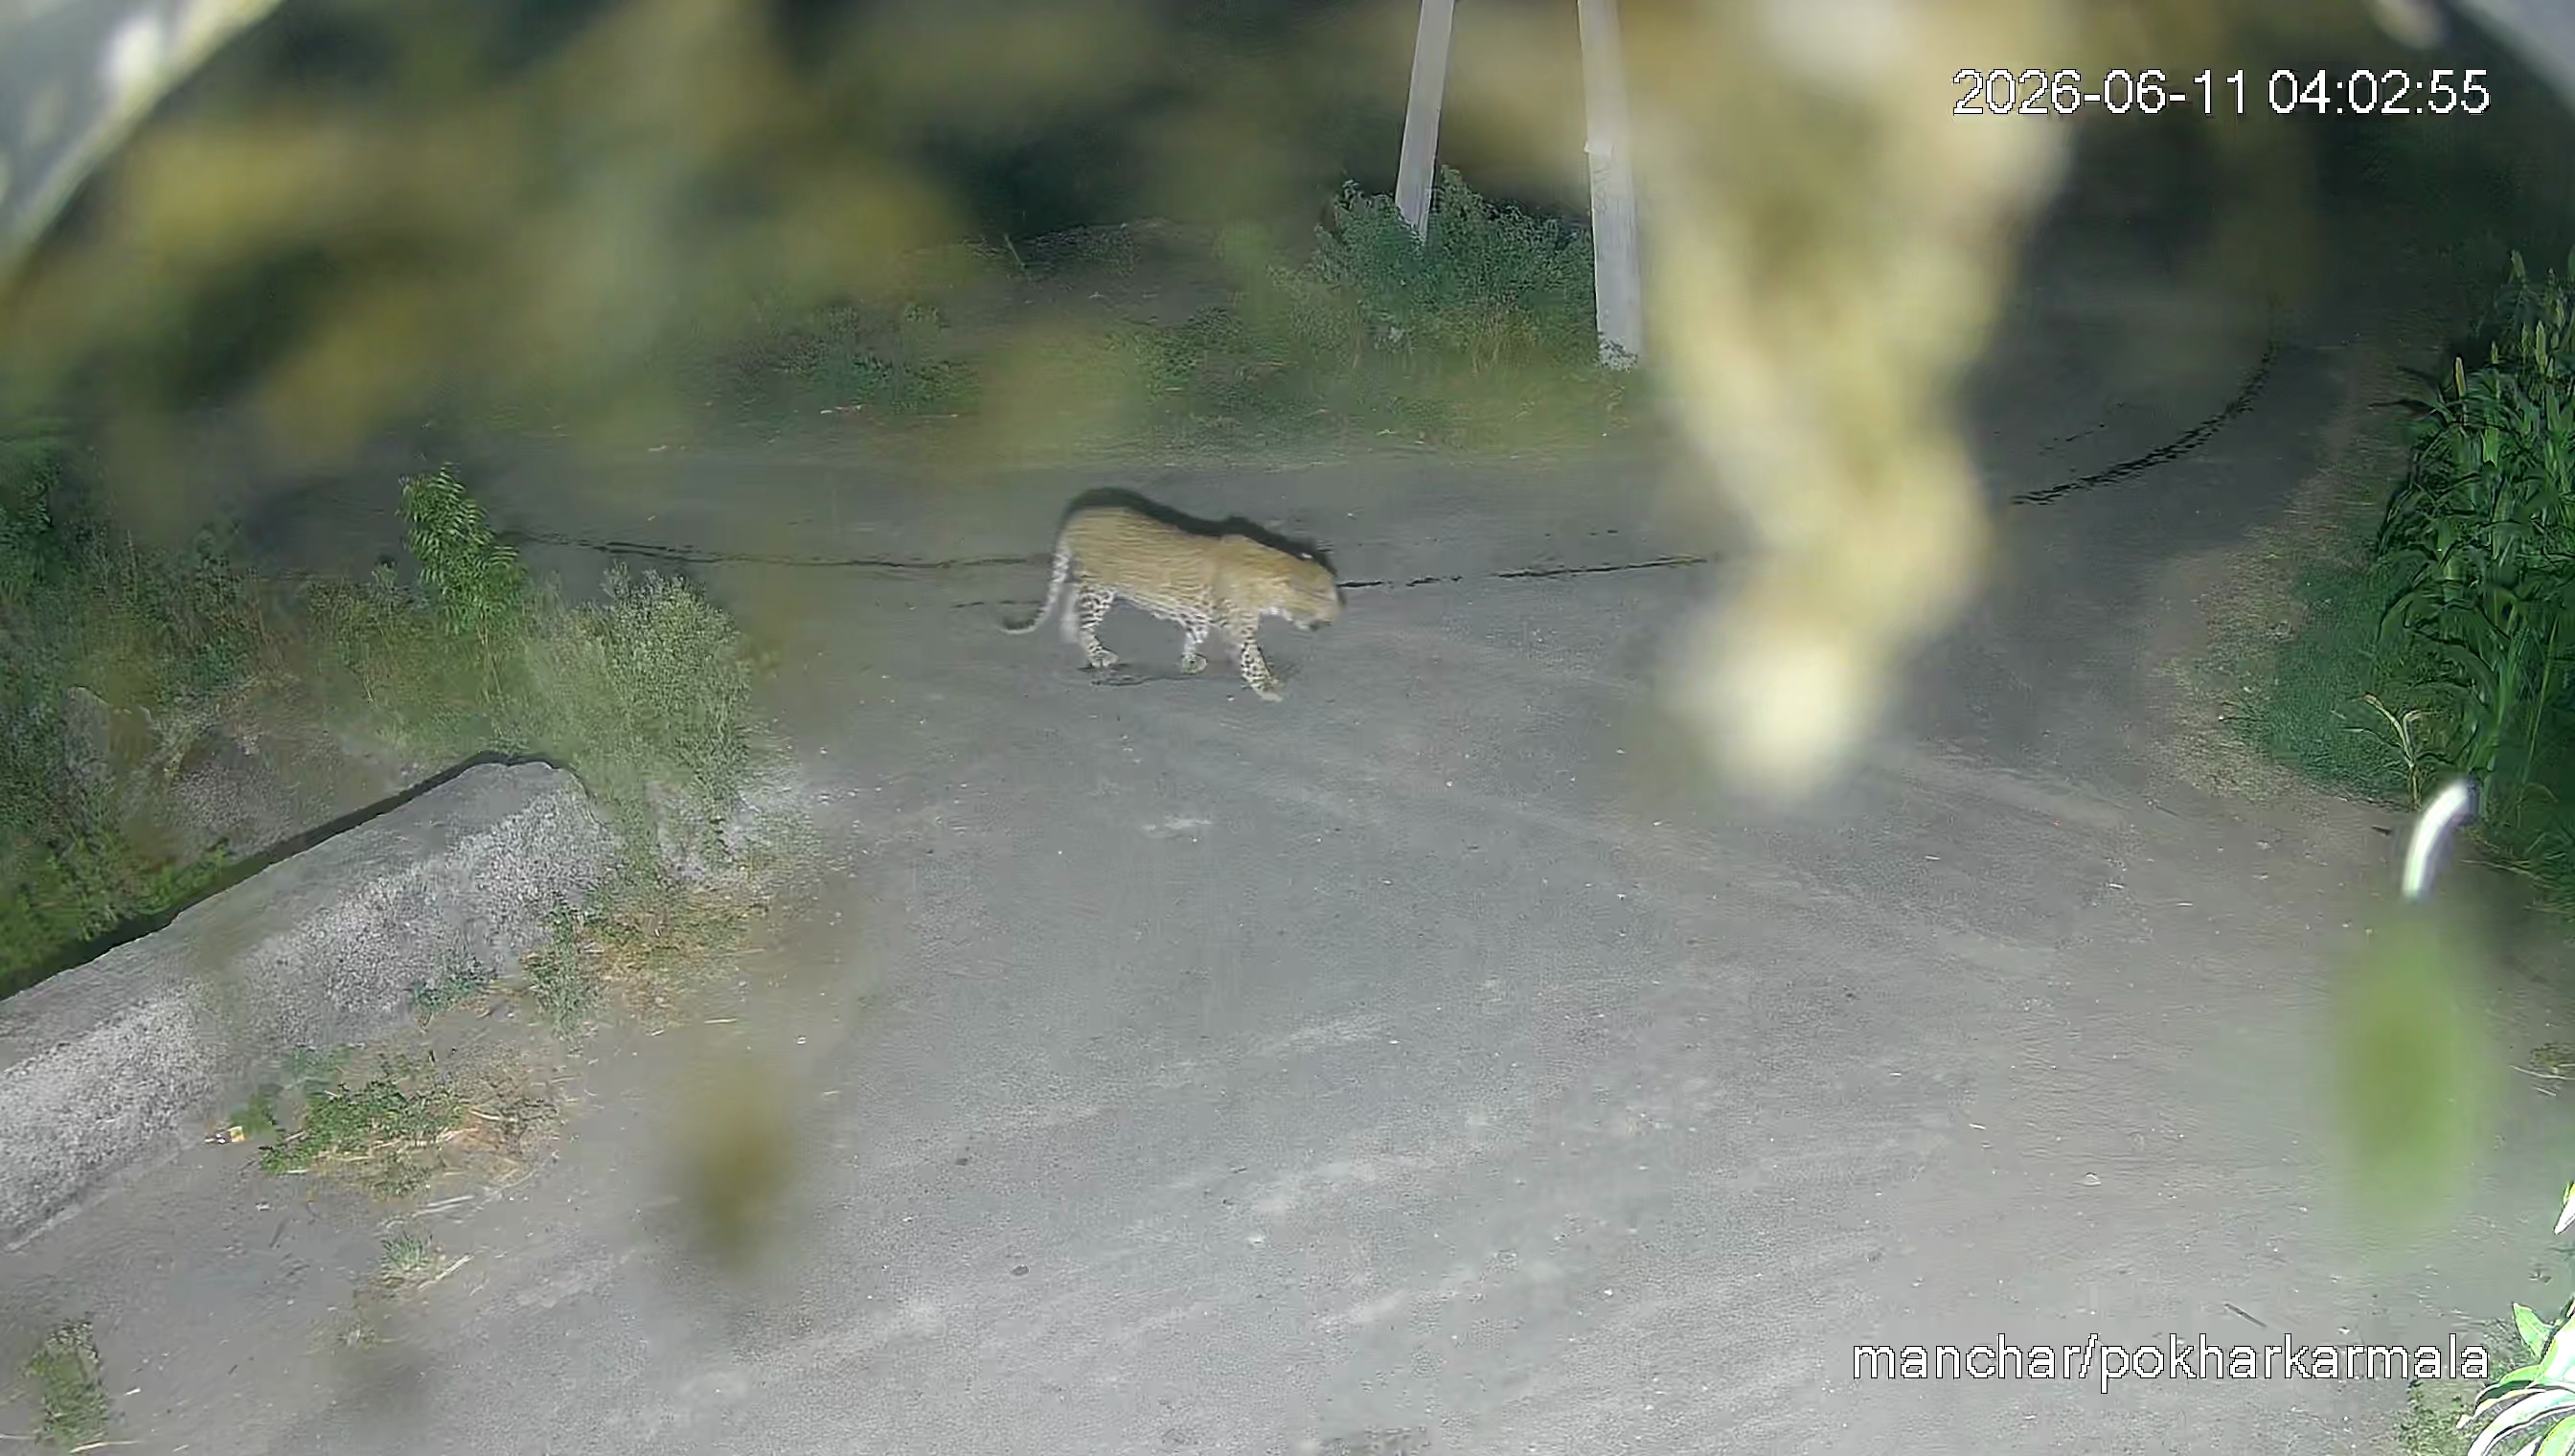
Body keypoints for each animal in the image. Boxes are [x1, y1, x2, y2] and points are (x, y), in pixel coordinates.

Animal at [1002, 500, 1343, 701]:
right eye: (1323, 596)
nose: (1340, 613)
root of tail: (1081, 514)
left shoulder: (1203, 615)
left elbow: (1195, 635)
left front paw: (1189, 660)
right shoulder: (1238, 628)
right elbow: (1251, 657)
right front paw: (1265, 685)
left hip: (1089, 580)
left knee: (1072, 594)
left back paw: (1069, 629)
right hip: (1100, 588)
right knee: (1086, 622)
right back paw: (1096, 653)